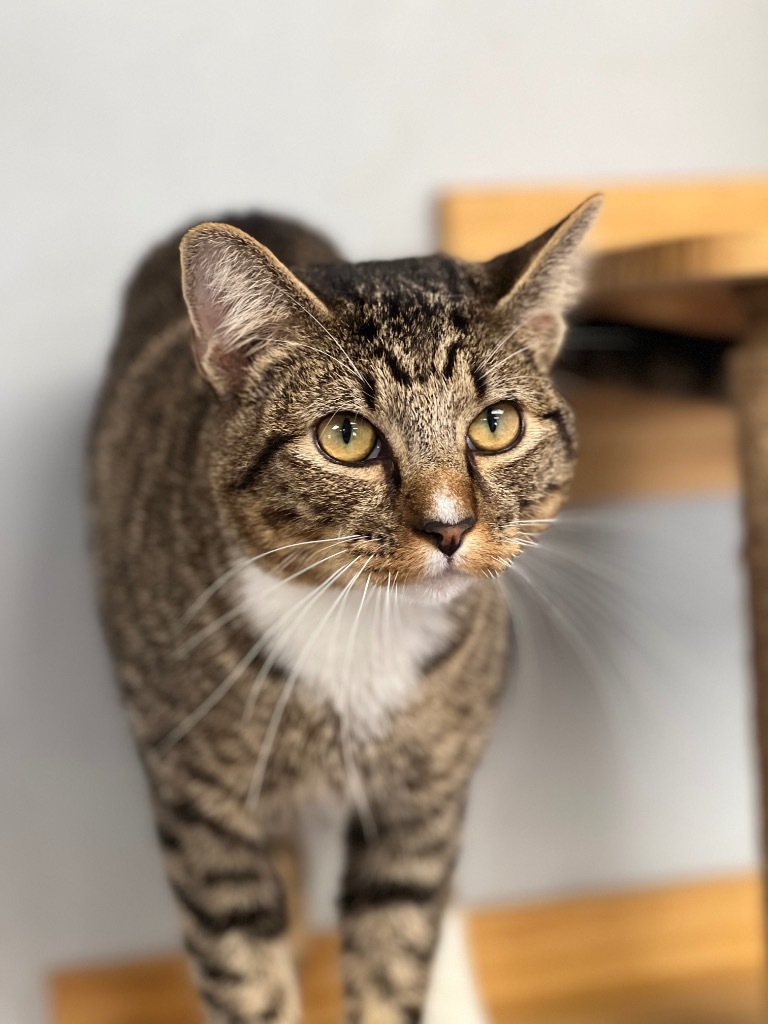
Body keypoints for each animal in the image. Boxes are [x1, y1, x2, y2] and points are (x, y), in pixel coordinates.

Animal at [88, 193, 602, 1024]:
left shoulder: (420, 806)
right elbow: (244, 971)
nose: (450, 527)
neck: (360, 629)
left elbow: (397, 950)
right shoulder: (203, 808)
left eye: (496, 425)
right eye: (346, 436)